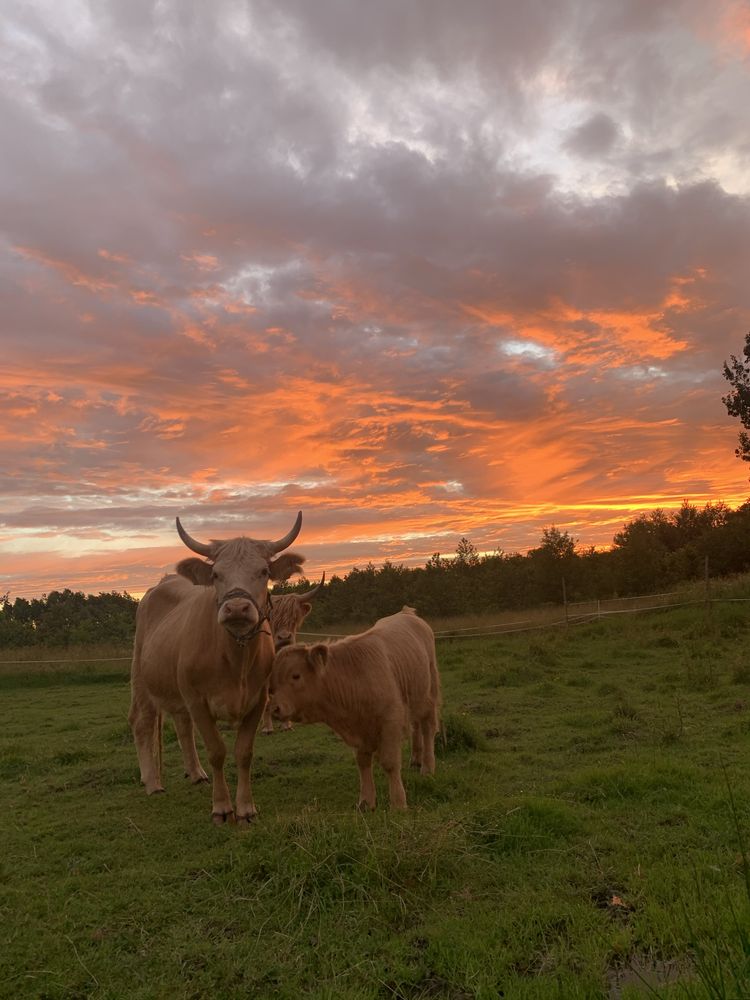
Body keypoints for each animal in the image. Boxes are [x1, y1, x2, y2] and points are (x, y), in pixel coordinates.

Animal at [128, 512, 304, 824]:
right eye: (216, 575)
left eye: (263, 571)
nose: (236, 608)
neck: (235, 660)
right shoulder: (198, 701)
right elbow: (216, 751)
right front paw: (222, 808)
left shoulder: (257, 700)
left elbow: (244, 752)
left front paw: (245, 809)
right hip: (142, 679)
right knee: (143, 723)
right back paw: (152, 782)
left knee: (182, 726)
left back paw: (195, 773)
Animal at [268, 604, 440, 808]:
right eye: (272, 682)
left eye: (296, 675)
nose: (274, 709)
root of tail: (407, 613)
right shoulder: (359, 730)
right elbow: (363, 763)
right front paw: (366, 802)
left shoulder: (390, 721)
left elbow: (390, 763)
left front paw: (398, 802)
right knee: (416, 727)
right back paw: (415, 759)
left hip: (429, 696)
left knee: (427, 730)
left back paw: (427, 767)